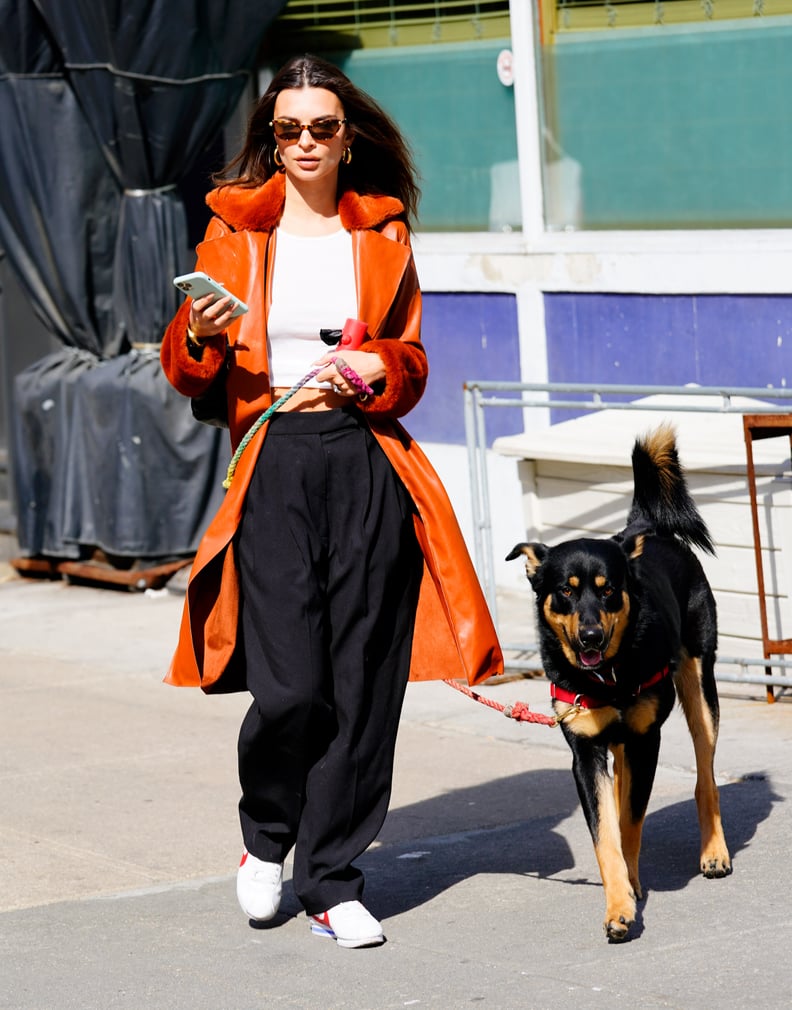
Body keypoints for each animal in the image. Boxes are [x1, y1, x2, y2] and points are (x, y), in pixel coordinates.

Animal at [507, 424, 731, 937]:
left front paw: (630, 887)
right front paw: (619, 905)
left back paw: (714, 852)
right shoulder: (585, 751)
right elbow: (606, 832)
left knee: (704, 775)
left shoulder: (647, 739)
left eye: (608, 589)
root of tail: (643, 529)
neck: (607, 676)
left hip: (698, 686)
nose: (590, 635)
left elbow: (630, 822)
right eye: (565, 592)